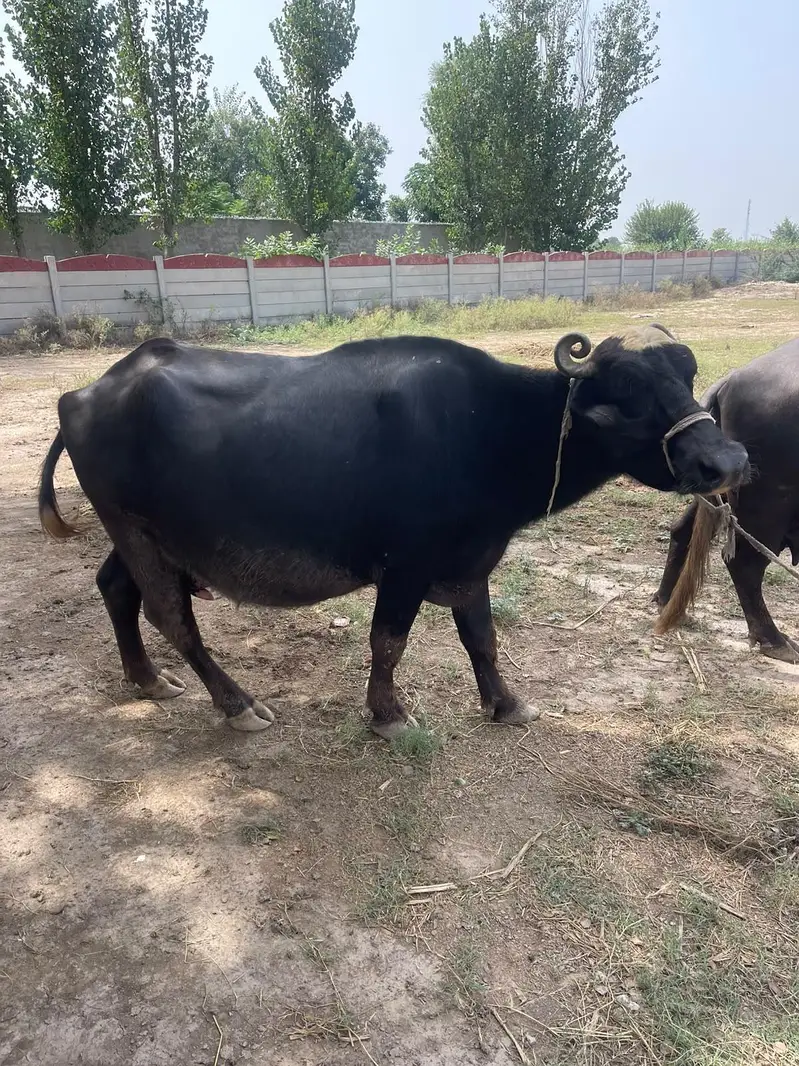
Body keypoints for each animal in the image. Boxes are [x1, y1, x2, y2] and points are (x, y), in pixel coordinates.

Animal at [39, 326, 747, 737]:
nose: (728, 460)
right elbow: (388, 641)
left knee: (115, 589)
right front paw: (388, 715)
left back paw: (146, 678)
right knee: (170, 613)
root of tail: (84, 394)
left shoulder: (470, 560)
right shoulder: (405, 566)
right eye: (629, 387)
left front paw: (505, 703)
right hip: (135, 530)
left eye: (687, 376)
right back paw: (238, 705)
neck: (489, 426)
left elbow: (481, 638)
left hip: (143, 536)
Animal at [657, 336, 799, 660]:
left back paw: (667, 600)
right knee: (744, 564)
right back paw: (774, 640)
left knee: (682, 531)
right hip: (767, 502)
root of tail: (731, 380)